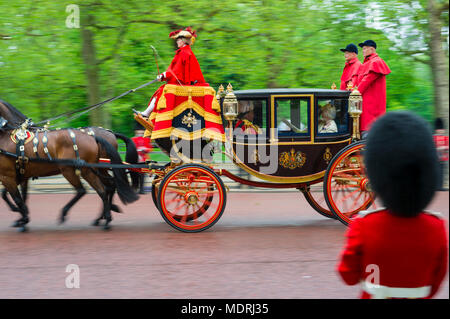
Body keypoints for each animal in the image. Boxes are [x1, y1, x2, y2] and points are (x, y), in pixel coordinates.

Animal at [0, 99, 139, 230]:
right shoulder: (19, 175)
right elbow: (14, 195)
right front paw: (21, 217)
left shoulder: (8, 176)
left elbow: (17, 198)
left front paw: (22, 218)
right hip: (94, 169)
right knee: (107, 187)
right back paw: (104, 216)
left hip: (75, 170)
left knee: (88, 190)